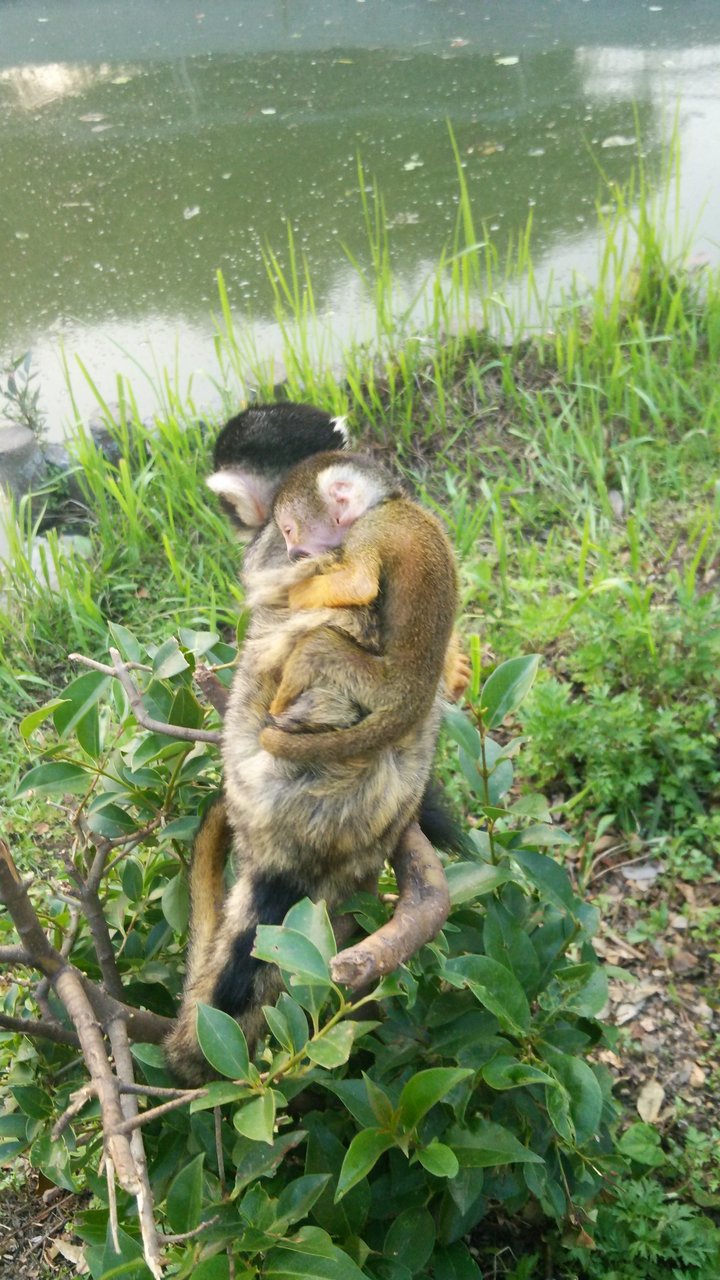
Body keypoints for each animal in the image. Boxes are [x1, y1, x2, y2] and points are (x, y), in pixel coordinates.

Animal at [164, 403, 466, 1086]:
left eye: (286, 524)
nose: (298, 547)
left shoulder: (288, 553)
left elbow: (290, 589)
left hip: (262, 770)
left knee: (300, 651)